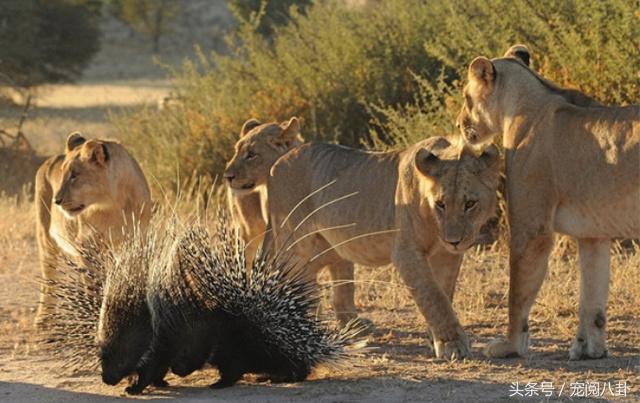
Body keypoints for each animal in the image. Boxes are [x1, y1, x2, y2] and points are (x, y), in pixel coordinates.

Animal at [35, 134, 153, 326]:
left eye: (74, 175)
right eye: (63, 174)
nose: (56, 201)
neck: (113, 205)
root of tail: (49, 160)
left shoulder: (137, 241)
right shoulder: (86, 245)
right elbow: (93, 285)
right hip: (45, 238)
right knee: (48, 279)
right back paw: (44, 319)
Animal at [264, 137, 500, 358]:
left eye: (470, 204)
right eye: (440, 204)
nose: (454, 240)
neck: (435, 225)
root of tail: (276, 163)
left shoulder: (446, 256)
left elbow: (444, 293)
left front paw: (434, 338)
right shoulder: (406, 253)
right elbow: (432, 297)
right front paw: (452, 344)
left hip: (329, 247)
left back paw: (348, 326)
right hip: (295, 244)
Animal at [458, 44, 636, 360]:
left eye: (466, 97)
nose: (459, 124)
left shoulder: (532, 230)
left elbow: (517, 293)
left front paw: (509, 346)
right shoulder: (592, 234)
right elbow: (592, 296)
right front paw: (589, 349)